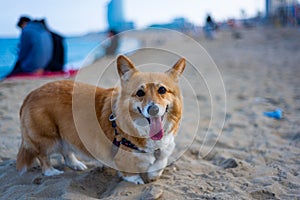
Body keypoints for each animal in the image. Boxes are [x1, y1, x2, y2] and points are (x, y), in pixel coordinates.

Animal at [17, 55, 185, 184]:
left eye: (162, 90)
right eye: (139, 93)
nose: (153, 109)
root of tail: (31, 94)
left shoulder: (165, 148)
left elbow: (160, 163)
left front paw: (152, 175)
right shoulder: (123, 156)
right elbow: (130, 172)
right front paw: (137, 179)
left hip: (67, 132)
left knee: (67, 151)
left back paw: (77, 164)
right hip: (47, 137)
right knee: (43, 156)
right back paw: (51, 171)